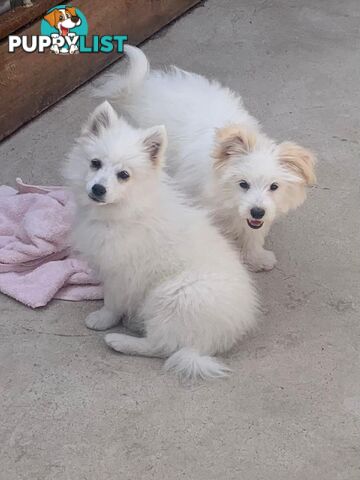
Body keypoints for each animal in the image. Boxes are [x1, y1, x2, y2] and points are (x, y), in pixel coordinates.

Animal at [63, 101, 258, 378]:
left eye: (124, 175)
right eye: (95, 163)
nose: (98, 189)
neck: (126, 209)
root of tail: (209, 343)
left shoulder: (121, 273)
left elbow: (112, 301)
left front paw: (102, 318)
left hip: (171, 296)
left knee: (161, 346)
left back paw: (121, 340)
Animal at [97, 46, 316, 272]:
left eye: (274, 186)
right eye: (243, 184)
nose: (257, 212)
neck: (223, 191)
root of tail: (143, 86)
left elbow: (252, 232)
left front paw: (256, 256)